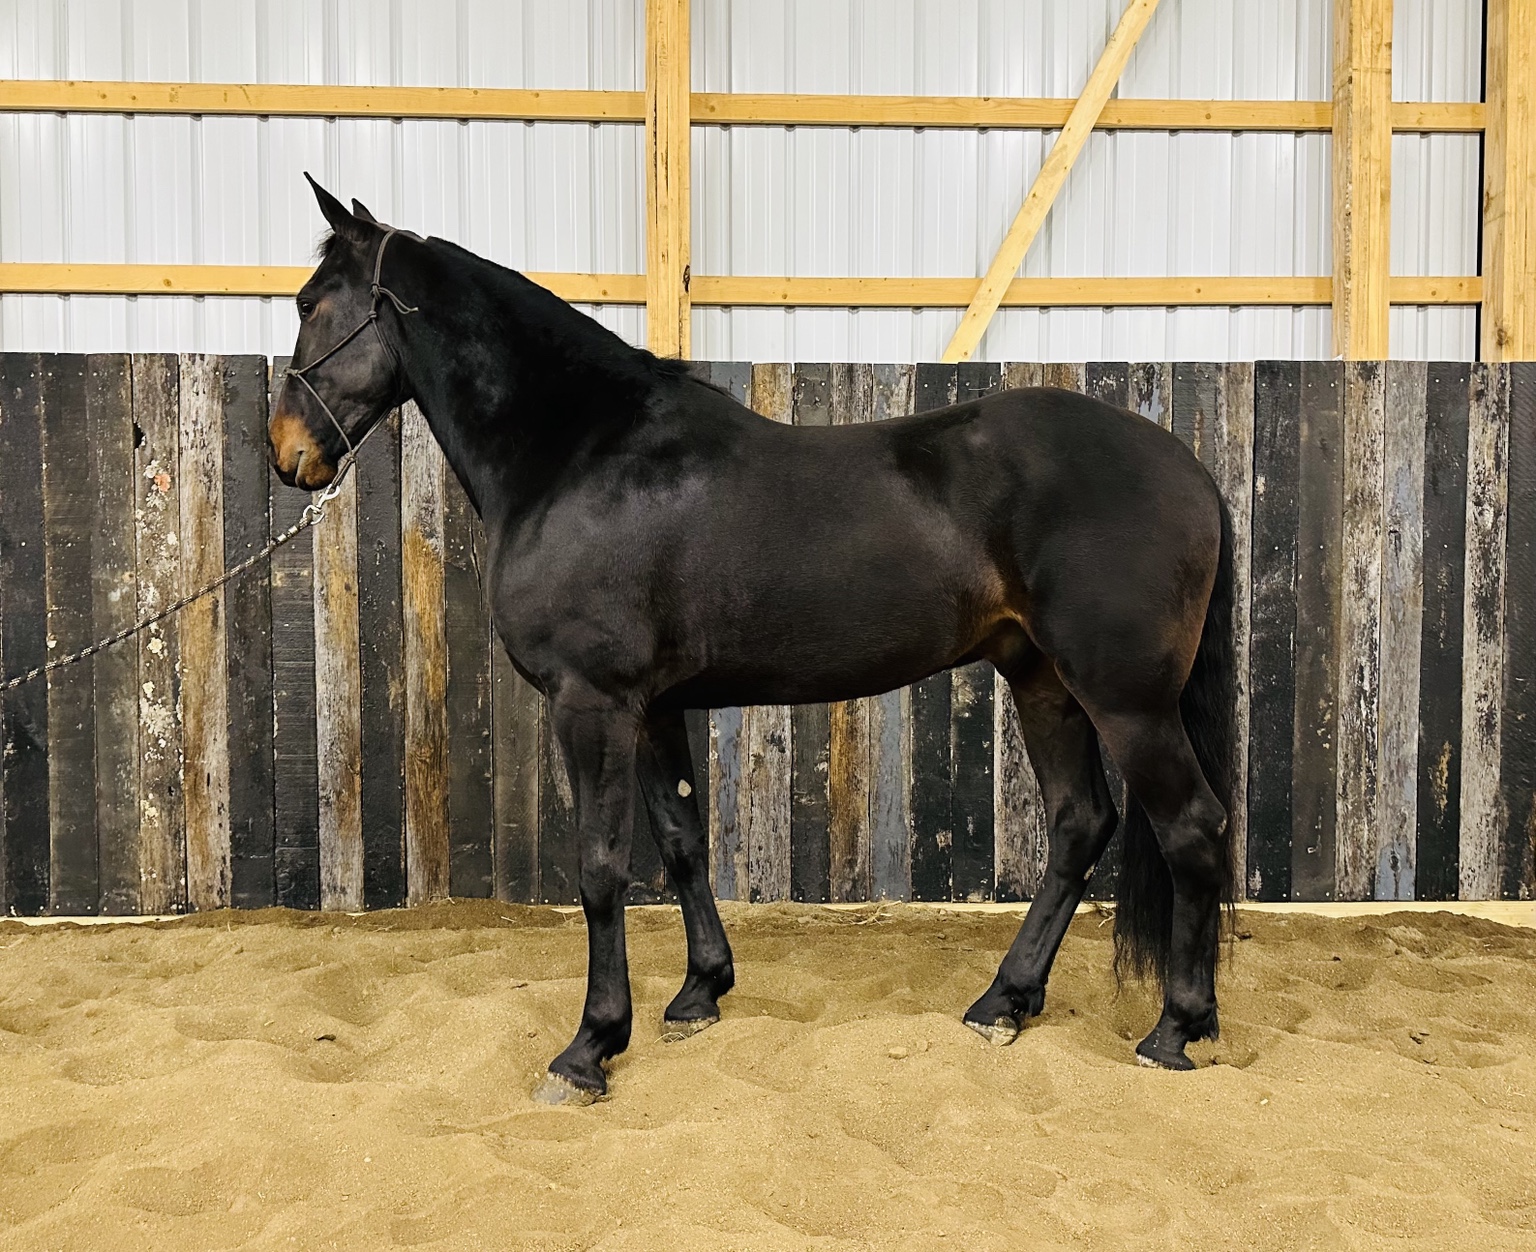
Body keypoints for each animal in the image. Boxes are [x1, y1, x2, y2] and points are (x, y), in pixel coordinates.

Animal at [269, 177, 1238, 1105]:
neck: (580, 453)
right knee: (1080, 824)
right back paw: (1004, 1002)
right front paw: (700, 992)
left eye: (312, 302)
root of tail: (1188, 468)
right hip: (1041, 681)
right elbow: (680, 840)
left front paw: (590, 1047)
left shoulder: (593, 704)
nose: (287, 452)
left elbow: (600, 866)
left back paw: (1174, 1030)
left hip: (1126, 700)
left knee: (1190, 827)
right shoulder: (654, 708)